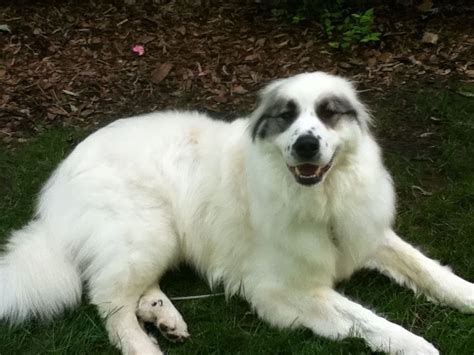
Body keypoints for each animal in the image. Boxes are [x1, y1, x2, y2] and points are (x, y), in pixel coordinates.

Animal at [0, 71, 474, 354]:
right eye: (286, 117)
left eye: (328, 113)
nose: (307, 144)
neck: (321, 198)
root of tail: (59, 182)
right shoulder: (287, 291)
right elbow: (370, 320)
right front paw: (418, 346)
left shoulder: (367, 234)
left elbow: (428, 270)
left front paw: (467, 295)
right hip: (149, 230)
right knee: (110, 302)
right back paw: (145, 344)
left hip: (158, 239)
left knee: (127, 288)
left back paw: (163, 315)